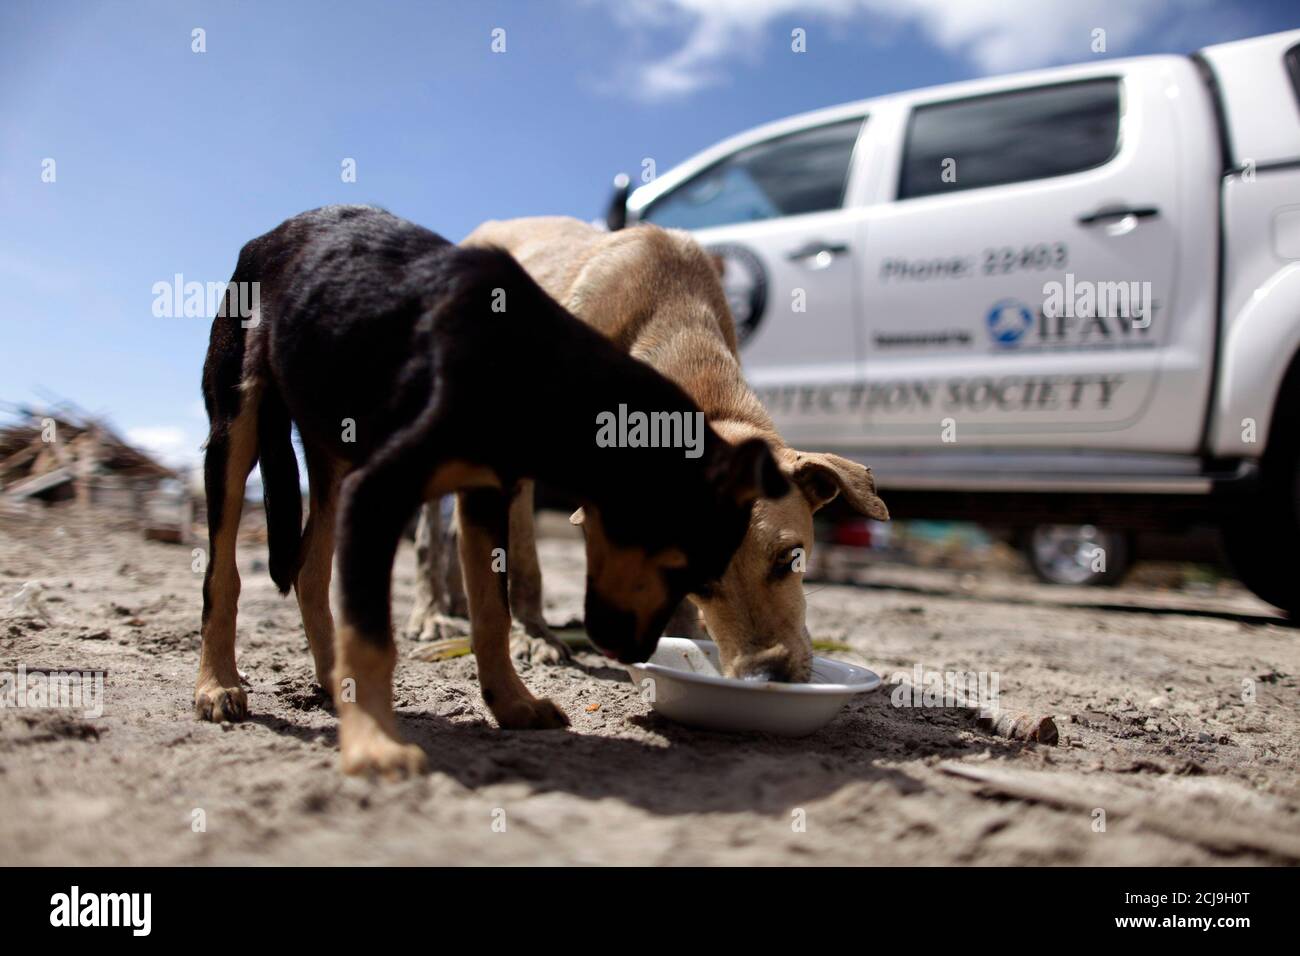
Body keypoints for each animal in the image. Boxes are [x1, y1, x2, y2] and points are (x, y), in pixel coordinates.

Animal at [197, 205, 785, 775]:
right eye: (682, 569)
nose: (636, 651)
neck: (537, 371)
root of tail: (273, 233)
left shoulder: (483, 496)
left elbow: (491, 613)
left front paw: (512, 703)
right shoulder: (378, 492)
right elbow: (372, 637)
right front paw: (375, 746)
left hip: (333, 455)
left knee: (309, 571)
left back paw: (330, 681)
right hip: (237, 426)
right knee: (222, 574)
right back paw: (218, 683)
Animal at [410, 218, 889, 681]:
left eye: (791, 559)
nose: (766, 675)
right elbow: (527, 563)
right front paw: (534, 634)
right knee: (430, 534)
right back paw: (431, 612)